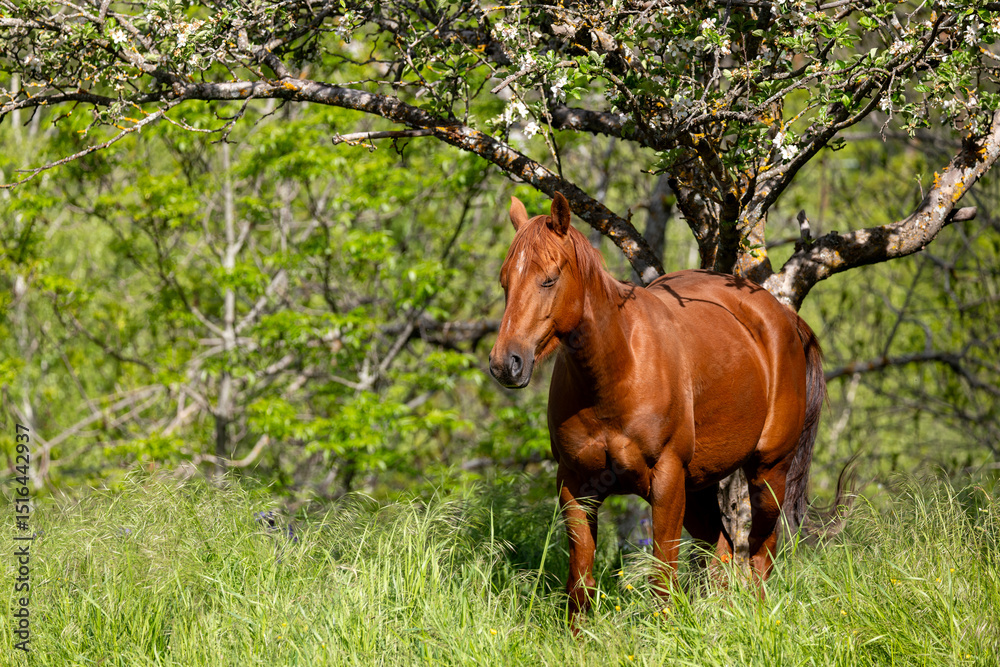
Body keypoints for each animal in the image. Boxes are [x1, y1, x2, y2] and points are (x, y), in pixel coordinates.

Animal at [488, 192, 824, 621]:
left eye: (548, 278)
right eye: (505, 281)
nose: (506, 363)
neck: (617, 371)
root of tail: (782, 317)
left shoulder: (666, 482)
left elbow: (663, 580)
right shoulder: (575, 487)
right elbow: (580, 584)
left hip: (768, 472)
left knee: (760, 554)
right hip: (700, 484)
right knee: (723, 551)